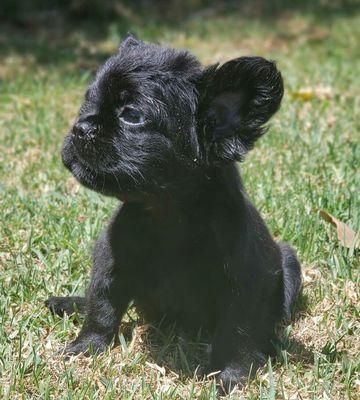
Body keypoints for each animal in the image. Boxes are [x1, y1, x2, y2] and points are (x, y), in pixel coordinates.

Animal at [45, 34, 300, 390]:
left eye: (132, 115)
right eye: (87, 103)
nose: (81, 126)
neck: (165, 214)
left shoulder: (243, 286)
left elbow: (237, 333)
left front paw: (231, 375)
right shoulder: (111, 262)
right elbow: (102, 308)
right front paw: (85, 347)